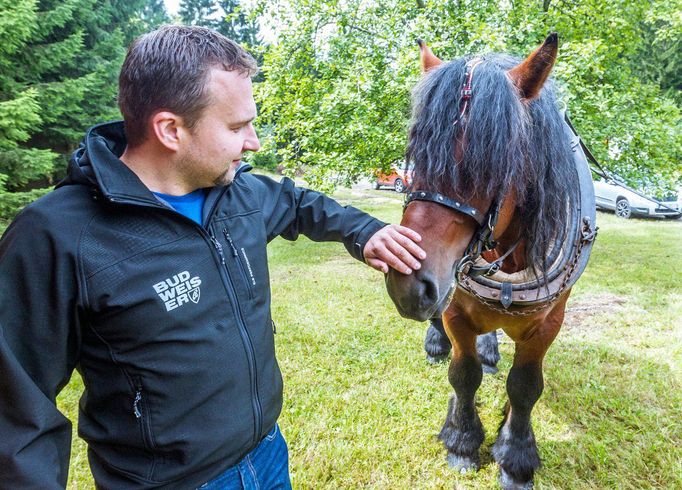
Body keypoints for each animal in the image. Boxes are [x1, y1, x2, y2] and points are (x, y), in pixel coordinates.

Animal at [386, 32, 596, 488]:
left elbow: (525, 386)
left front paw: (515, 456)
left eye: (494, 163)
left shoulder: (548, 323)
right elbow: (463, 375)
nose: (408, 284)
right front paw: (462, 441)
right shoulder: (456, 307)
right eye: (417, 154)